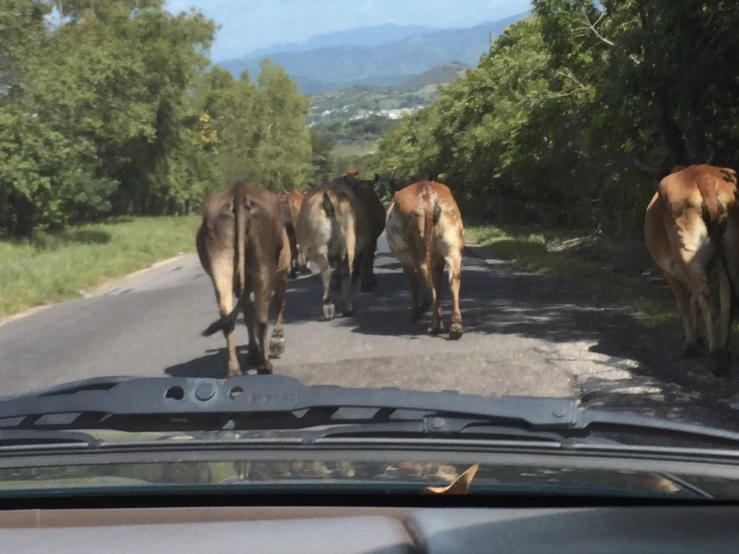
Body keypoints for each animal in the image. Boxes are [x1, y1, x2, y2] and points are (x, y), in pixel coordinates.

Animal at [195, 181, 290, 376]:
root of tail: (239, 192)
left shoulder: (240, 287)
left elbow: (247, 313)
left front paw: (252, 352)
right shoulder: (283, 273)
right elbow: (278, 304)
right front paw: (277, 342)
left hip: (220, 264)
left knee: (228, 316)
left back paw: (234, 369)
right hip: (265, 267)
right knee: (262, 317)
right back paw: (264, 365)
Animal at [388, 179, 462, 338]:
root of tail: (427, 194)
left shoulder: (406, 262)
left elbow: (414, 286)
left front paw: (415, 312)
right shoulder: (437, 263)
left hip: (419, 253)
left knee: (429, 287)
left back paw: (436, 326)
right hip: (453, 247)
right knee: (453, 280)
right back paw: (455, 326)